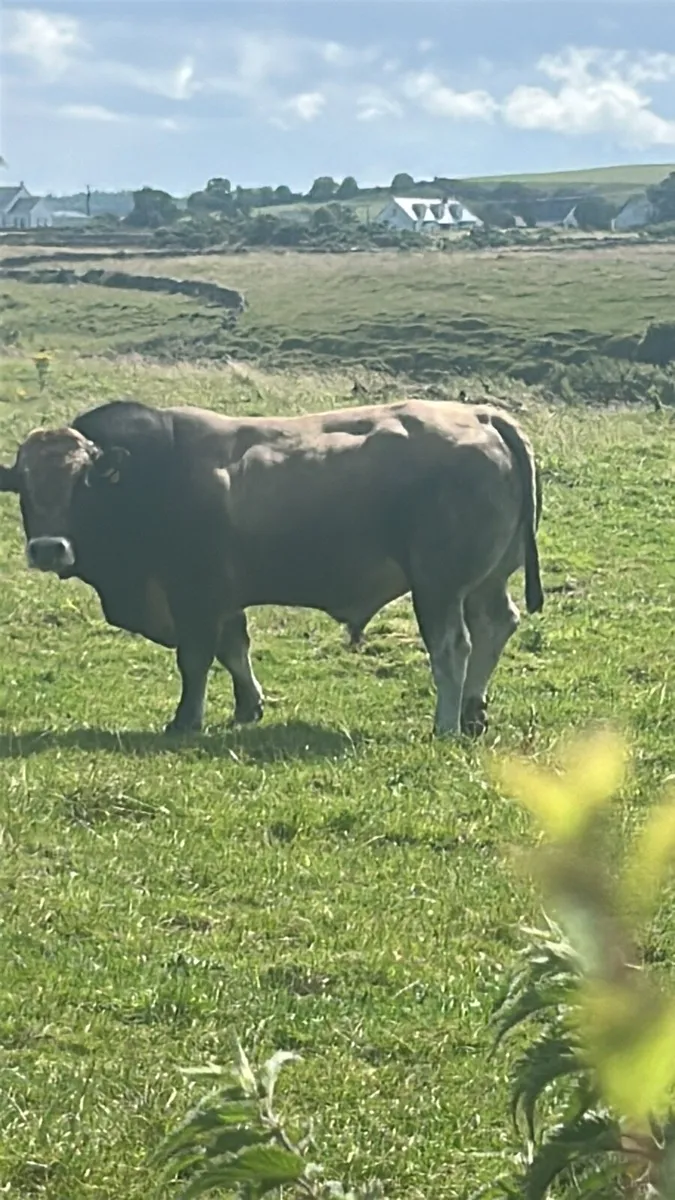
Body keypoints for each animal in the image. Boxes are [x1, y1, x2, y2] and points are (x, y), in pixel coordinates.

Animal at [0, 397, 543, 737]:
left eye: (81, 483)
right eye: (24, 486)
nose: (48, 548)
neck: (143, 477)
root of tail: (480, 416)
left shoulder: (194, 595)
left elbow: (196, 660)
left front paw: (186, 720)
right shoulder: (221, 598)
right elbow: (233, 650)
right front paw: (248, 706)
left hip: (438, 586)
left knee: (454, 646)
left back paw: (446, 722)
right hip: (484, 582)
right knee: (496, 625)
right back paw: (473, 711)